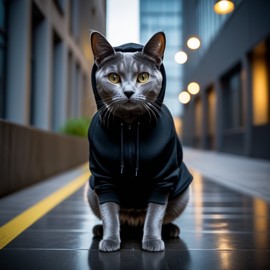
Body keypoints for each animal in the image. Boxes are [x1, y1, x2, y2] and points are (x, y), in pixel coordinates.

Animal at [86, 30, 192, 252]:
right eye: (113, 77)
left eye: (143, 77)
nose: (128, 92)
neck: (129, 126)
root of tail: (134, 220)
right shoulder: (102, 177)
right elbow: (109, 212)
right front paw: (110, 240)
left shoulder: (164, 176)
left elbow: (155, 214)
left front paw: (152, 241)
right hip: (90, 190)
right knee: (116, 218)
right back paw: (100, 230)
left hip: (184, 193)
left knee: (161, 216)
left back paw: (170, 230)